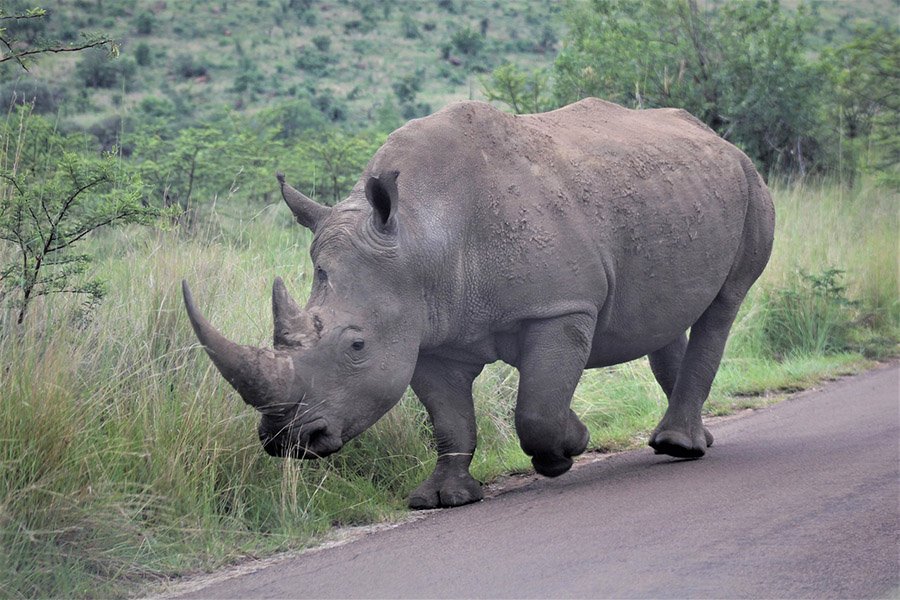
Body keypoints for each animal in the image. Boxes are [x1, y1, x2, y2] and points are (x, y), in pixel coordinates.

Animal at [182, 98, 775, 509]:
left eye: (356, 345)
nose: (289, 440)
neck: (421, 232)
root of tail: (716, 137)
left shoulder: (561, 307)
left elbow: (536, 409)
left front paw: (568, 448)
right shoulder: (426, 335)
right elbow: (449, 422)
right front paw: (442, 499)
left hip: (750, 182)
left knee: (723, 305)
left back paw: (678, 447)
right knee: (668, 318)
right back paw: (694, 439)